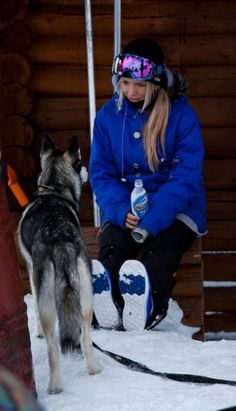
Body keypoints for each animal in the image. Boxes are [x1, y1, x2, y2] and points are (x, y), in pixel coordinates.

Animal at [18, 136, 103, 396]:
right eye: (80, 163)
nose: (87, 171)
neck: (54, 189)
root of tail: (60, 235)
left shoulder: (31, 270)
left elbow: (34, 309)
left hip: (48, 298)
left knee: (53, 347)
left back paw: (54, 387)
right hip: (85, 294)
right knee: (85, 336)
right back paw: (94, 368)